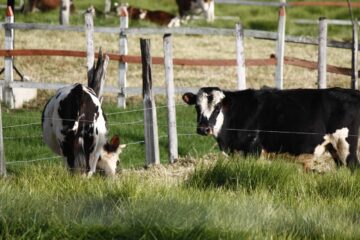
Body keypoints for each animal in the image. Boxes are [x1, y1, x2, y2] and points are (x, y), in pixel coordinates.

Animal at [184, 86, 360, 169]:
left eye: (218, 107)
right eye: (197, 107)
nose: (203, 129)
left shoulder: (253, 150)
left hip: (346, 145)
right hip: (334, 147)